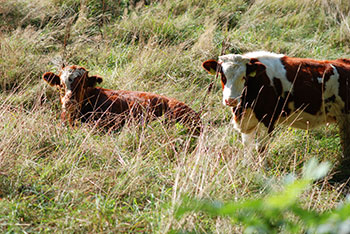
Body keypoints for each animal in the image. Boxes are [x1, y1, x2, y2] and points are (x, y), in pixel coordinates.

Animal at [202, 51, 350, 181]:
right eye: (223, 76)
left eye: (244, 77)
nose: (231, 100)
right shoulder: (248, 122)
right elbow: (247, 146)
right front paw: (246, 167)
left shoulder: (267, 119)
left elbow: (261, 148)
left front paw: (263, 171)